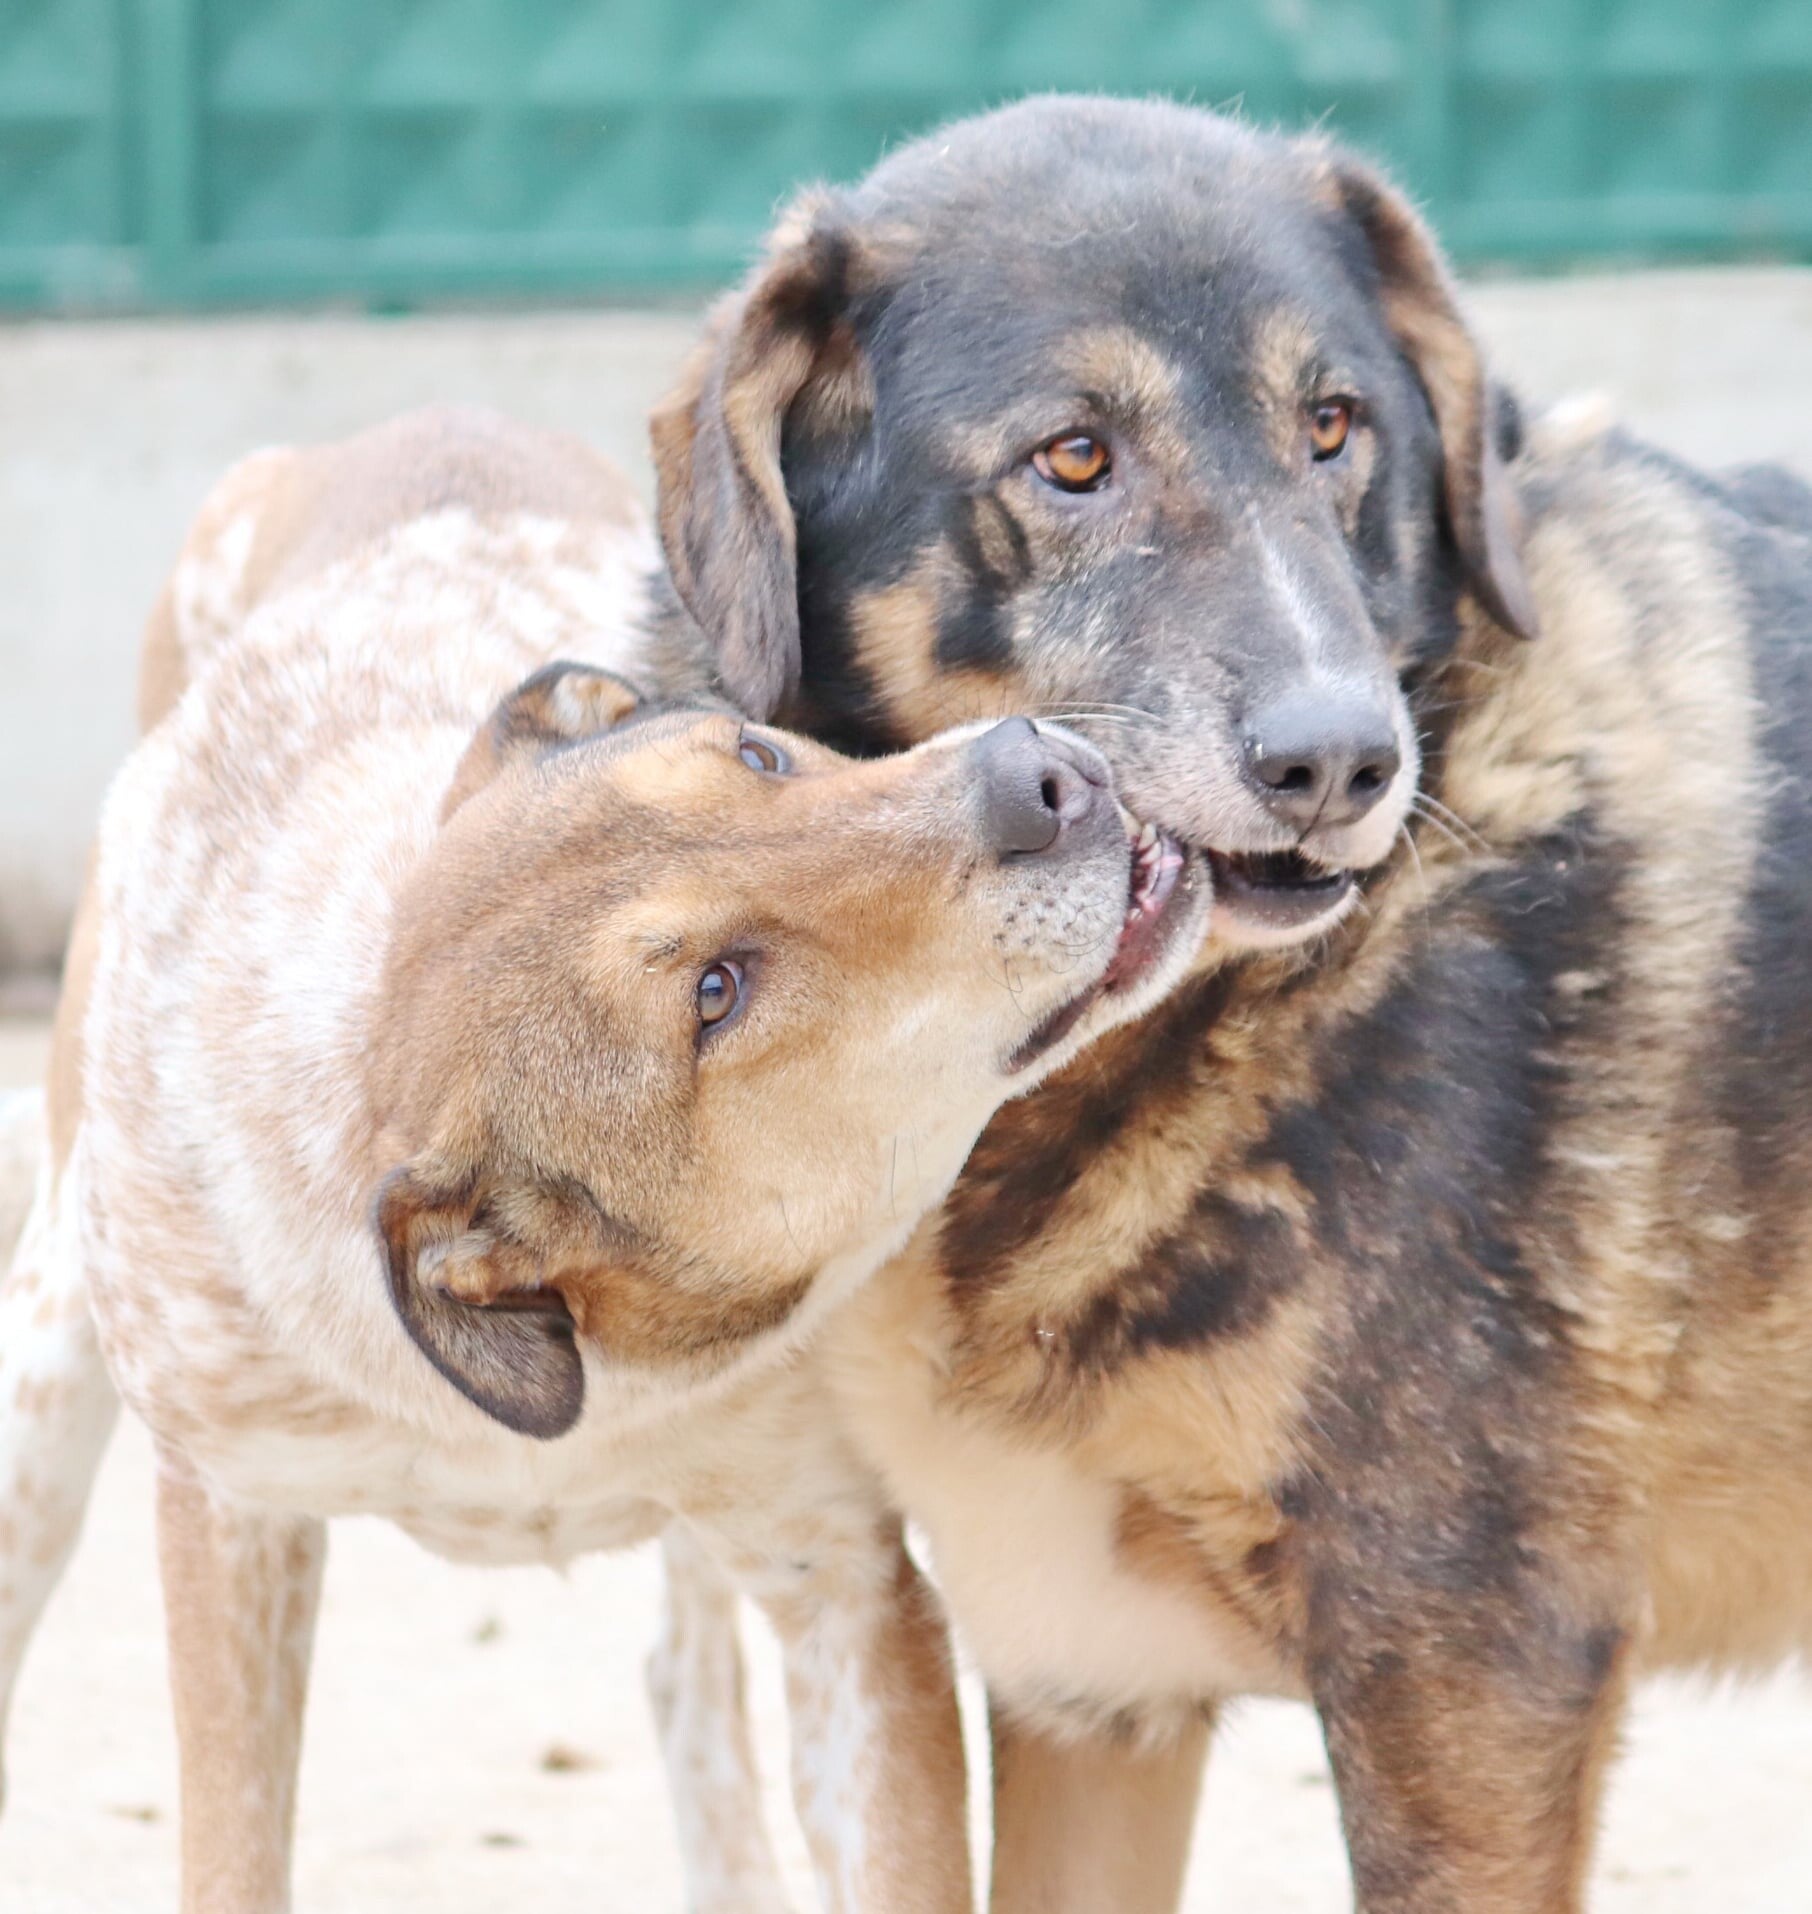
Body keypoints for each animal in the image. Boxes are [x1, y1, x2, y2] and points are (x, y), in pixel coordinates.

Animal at [0, 405, 1210, 1912]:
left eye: (760, 758)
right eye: (717, 994)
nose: (1042, 771)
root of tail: (415, 418)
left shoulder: (841, 1575)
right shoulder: (228, 1521)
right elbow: (231, 1852)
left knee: (684, 1681)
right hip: (46, 1373)